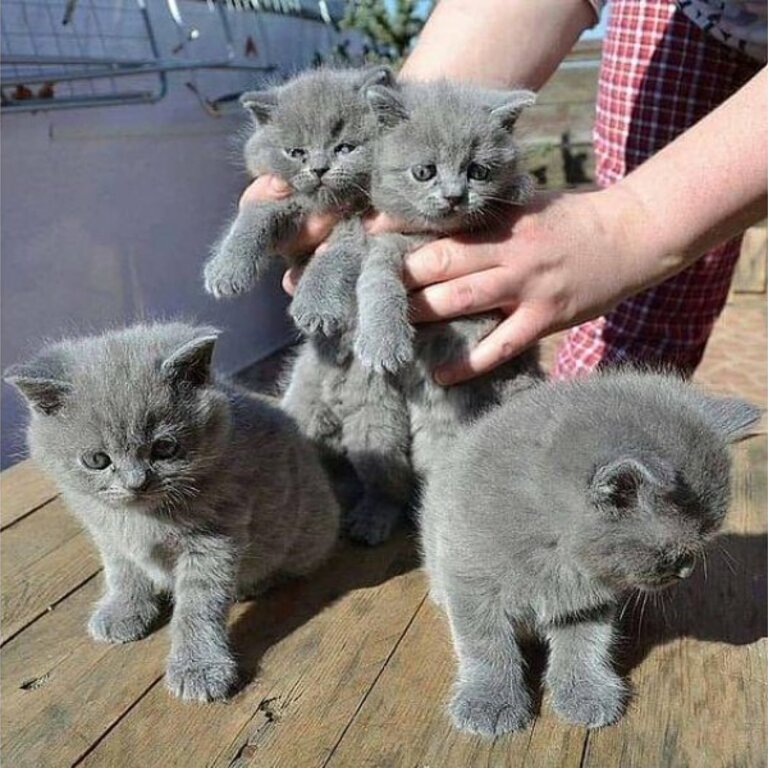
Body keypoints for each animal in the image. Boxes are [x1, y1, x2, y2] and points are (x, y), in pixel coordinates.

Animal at [3, 324, 340, 704]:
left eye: (165, 448)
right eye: (97, 460)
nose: (136, 482)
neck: (139, 518)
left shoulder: (214, 539)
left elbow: (198, 605)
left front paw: (199, 667)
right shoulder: (107, 534)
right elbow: (122, 573)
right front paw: (123, 610)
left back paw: (253, 584)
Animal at [420, 374, 760, 736]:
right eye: (673, 554)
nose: (687, 570)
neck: (559, 560)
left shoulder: (585, 604)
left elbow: (585, 645)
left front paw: (585, 691)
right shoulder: (470, 579)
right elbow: (486, 645)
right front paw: (489, 700)